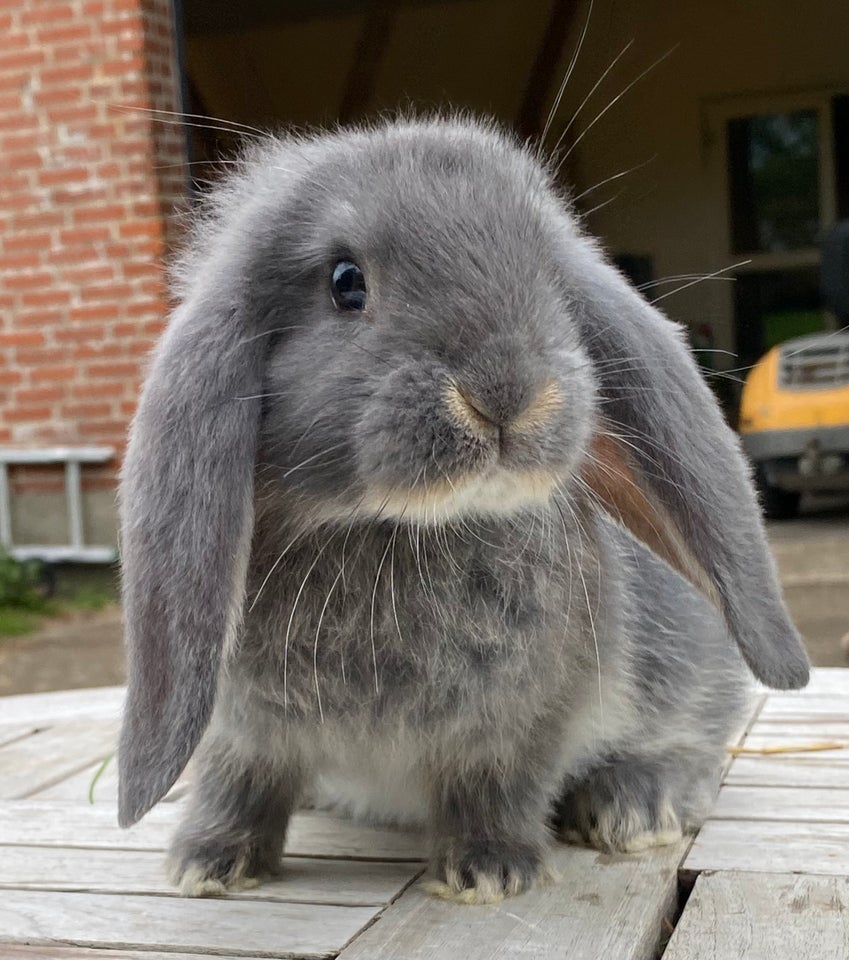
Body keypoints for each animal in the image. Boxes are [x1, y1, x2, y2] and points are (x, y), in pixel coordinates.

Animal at [114, 116, 808, 904]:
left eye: (550, 278)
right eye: (345, 283)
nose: (506, 390)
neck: (399, 531)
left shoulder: (521, 726)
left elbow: (494, 788)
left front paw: (489, 871)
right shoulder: (241, 731)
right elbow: (239, 783)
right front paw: (208, 863)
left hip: (686, 665)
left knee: (692, 745)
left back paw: (633, 807)